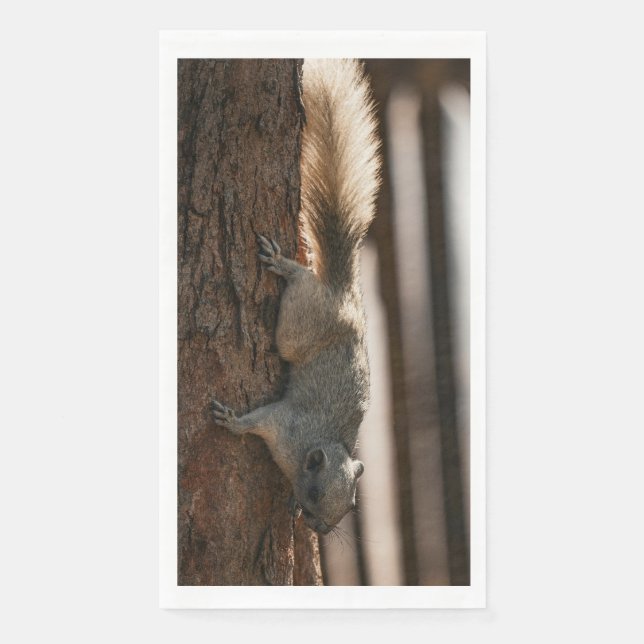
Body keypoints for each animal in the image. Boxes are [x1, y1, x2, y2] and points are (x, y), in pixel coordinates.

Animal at [212, 59, 381, 535]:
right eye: (316, 492)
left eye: (352, 506)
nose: (320, 529)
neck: (318, 444)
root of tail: (343, 292)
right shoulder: (284, 425)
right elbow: (258, 420)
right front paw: (233, 422)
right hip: (299, 324)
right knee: (301, 281)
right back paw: (285, 264)